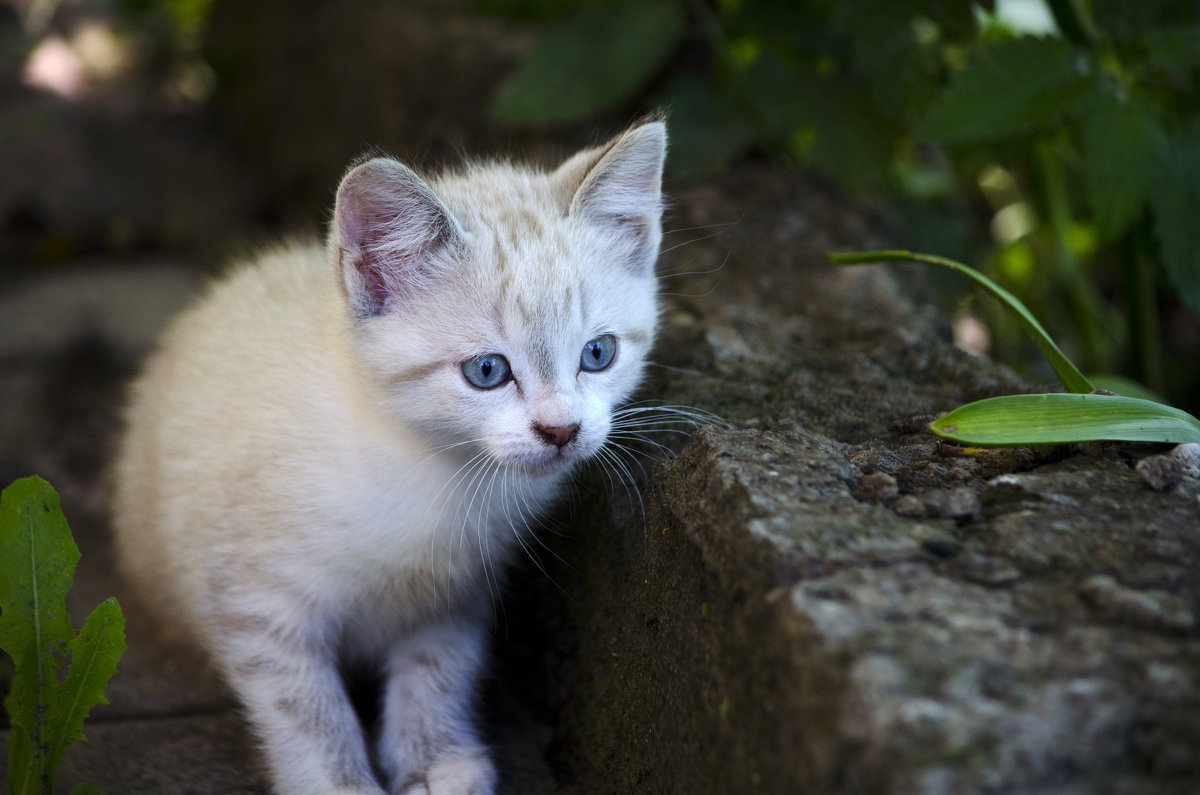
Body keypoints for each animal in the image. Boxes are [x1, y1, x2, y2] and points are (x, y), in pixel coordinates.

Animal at [112, 120, 667, 795]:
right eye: (487, 371)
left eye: (598, 354)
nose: (561, 430)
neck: (431, 470)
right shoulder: (255, 598)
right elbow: (304, 704)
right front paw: (337, 783)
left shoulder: (456, 592)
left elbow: (438, 668)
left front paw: (437, 759)